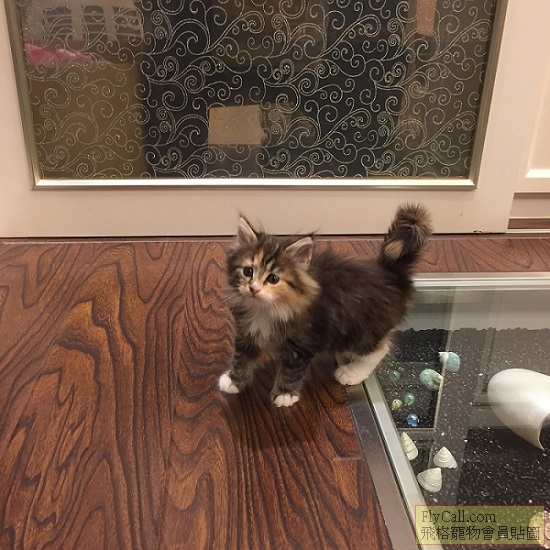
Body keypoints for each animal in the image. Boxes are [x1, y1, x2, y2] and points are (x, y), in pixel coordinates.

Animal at [219, 204, 432, 407]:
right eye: (248, 271)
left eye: (273, 279)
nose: (253, 289)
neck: (266, 309)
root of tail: (389, 273)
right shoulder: (247, 332)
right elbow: (242, 357)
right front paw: (233, 381)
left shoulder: (304, 342)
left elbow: (291, 371)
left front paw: (285, 394)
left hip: (363, 329)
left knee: (380, 349)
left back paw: (351, 372)